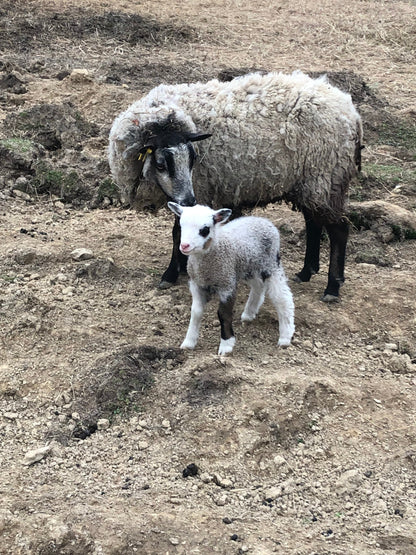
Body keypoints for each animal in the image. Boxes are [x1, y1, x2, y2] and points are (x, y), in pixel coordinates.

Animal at [108, 73, 364, 304]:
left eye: (193, 159)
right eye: (161, 164)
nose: (188, 200)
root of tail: (351, 113)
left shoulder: (200, 189)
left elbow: (177, 232)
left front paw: (170, 274)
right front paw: (180, 266)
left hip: (326, 176)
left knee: (339, 230)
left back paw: (332, 288)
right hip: (310, 183)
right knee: (314, 224)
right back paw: (306, 272)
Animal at [167, 203, 294, 356]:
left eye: (205, 229)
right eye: (181, 225)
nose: (184, 246)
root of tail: (263, 220)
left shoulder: (227, 284)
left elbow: (223, 314)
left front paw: (226, 345)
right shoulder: (197, 283)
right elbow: (196, 312)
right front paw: (189, 342)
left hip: (270, 264)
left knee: (282, 297)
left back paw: (285, 336)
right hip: (248, 267)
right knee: (258, 286)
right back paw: (249, 313)